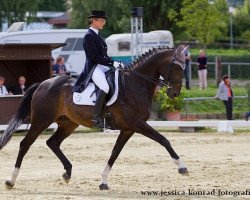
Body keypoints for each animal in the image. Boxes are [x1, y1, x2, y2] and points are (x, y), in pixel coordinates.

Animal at [0, 44, 188, 190]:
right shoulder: (137, 124)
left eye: (184, 67)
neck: (135, 84)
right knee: (25, 144)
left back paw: (67, 172)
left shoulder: (128, 129)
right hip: (41, 121)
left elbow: (115, 153)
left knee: (53, 142)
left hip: (68, 123)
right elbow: (164, 140)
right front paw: (182, 167)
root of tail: (43, 83)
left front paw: (103, 181)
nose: (175, 93)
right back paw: (11, 180)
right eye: (176, 67)